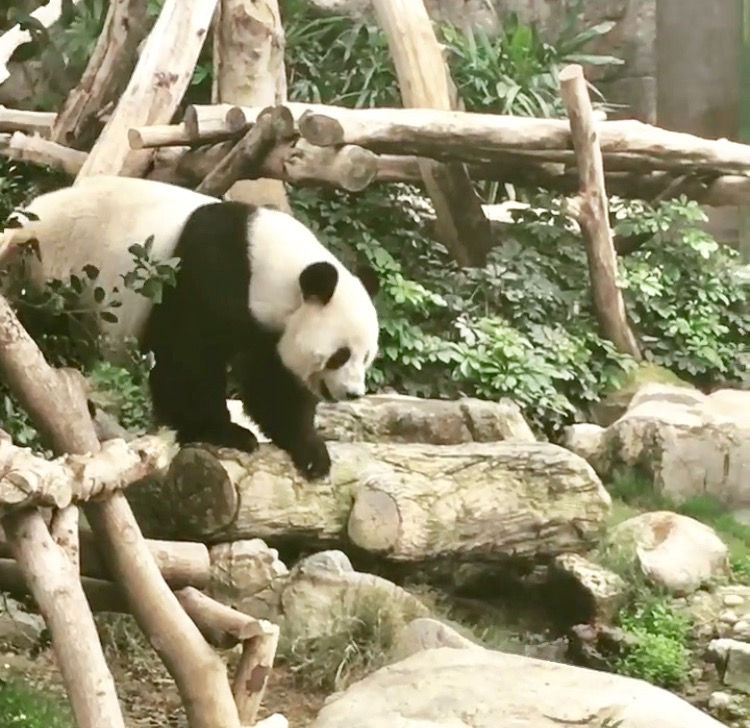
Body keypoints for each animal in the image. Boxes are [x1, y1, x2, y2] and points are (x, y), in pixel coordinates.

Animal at [1, 175, 380, 480]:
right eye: (340, 355)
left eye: (366, 357)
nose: (353, 393)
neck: (269, 264)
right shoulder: (208, 273)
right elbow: (188, 358)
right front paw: (221, 432)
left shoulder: (267, 325)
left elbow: (272, 382)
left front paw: (311, 451)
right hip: (52, 275)